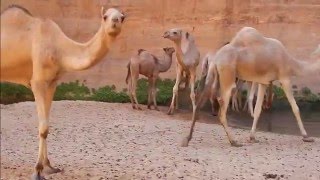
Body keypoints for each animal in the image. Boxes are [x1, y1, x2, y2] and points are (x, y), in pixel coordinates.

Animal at [0, 4, 125, 179]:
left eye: (122, 17)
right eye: (105, 16)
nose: (115, 21)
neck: (59, 49)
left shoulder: (52, 83)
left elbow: (47, 127)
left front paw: (49, 167)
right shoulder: (37, 82)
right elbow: (43, 127)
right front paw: (37, 171)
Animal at [182, 27, 318, 148]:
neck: (291, 62)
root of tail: (216, 58)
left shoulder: (264, 82)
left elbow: (258, 110)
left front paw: (252, 137)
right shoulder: (285, 78)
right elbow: (295, 108)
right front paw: (306, 136)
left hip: (212, 73)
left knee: (200, 101)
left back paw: (187, 139)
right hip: (227, 75)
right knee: (222, 107)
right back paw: (234, 141)